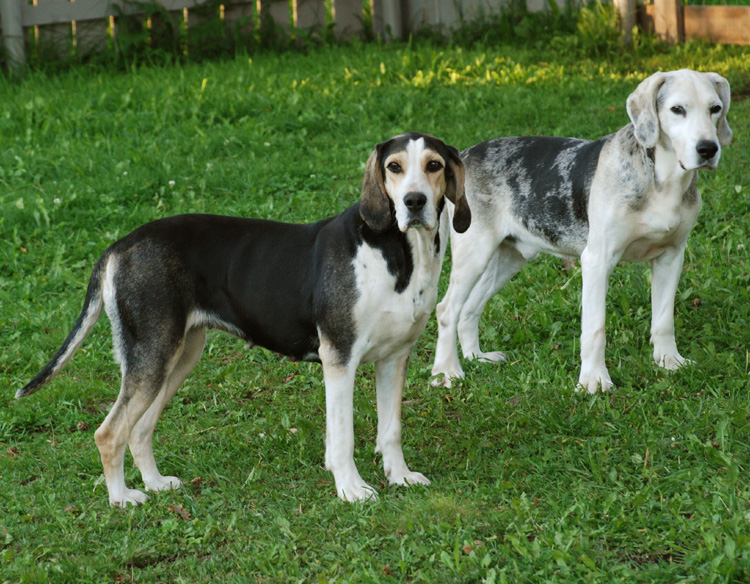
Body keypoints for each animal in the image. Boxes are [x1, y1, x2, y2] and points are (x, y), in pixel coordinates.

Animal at [17, 130, 470, 504]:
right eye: (394, 167)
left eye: (434, 165)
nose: (414, 202)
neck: (396, 252)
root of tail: (119, 246)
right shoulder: (340, 358)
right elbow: (342, 437)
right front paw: (351, 489)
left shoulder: (394, 358)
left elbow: (390, 430)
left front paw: (401, 477)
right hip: (153, 356)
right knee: (110, 432)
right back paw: (122, 499)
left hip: (179, 355)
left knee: (140, 429)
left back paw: (156, 483)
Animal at [434, 70, 736, 394]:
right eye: (677, 109)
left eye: (715, 109)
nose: (708, 149)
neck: (663, 180)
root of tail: (466, 155)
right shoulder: (597, 260)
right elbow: (594, 328)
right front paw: (594, 380)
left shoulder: (671, 257)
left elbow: (664, 320)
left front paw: (669, 362)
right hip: (474, 253)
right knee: (446, 310)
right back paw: (447, 372)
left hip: (509, 258)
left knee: (468, 309)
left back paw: (475, 357)